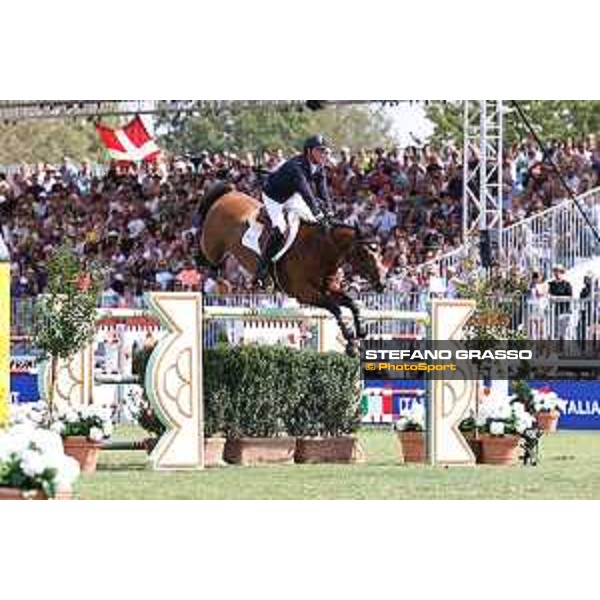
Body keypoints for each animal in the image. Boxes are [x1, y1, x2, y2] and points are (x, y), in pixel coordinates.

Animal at [195, 180, 386, 354]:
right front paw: (351, 340)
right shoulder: (304, 293)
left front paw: (360, 332)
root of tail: (228, 193)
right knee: (205, 255)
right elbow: (336, 308)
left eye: (380, 252)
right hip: (212, 246)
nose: (382, 285)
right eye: (364, 254)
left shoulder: (328, 289)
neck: (321, 249)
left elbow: (352, 304)